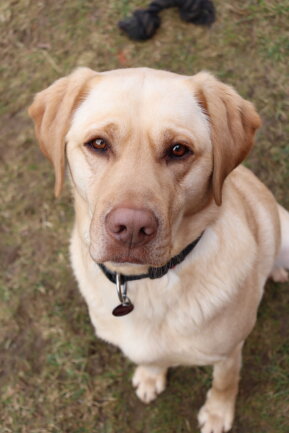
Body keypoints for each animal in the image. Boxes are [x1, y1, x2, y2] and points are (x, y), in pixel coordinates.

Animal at [29, 67, 288, 432]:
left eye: (178, 149)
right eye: (98, 144)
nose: (131, 228)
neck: (146, 283)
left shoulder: (229, 352)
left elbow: (225, 382)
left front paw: (217, 413)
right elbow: (150, 358)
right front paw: (151, 376)